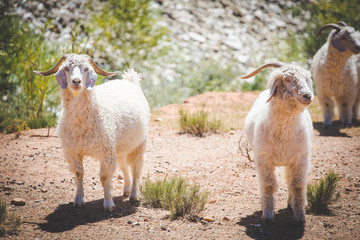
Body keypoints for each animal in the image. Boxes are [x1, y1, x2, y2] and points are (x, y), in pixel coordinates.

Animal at [34, 54, 150, 212]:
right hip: (120, 146)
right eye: (66, 68)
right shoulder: (74, 151)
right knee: (124, 165)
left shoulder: (106, 151)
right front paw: (78, 200)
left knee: (136, 168)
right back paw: (126, 189)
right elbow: (79, 174)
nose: (76, 81)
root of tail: (131, 80)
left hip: (139, 143)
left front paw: (108, 204)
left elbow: (104, 177)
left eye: (86, 69)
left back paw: (133, 195)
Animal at [242, 62, 316, 224]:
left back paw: (290, 203)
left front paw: (300, 215)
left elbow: (297, 185)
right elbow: (268, 185)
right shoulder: (264, 159)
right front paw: (268, 214)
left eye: (307, 79)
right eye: (287, 79)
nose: (307, 96)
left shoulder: (300, 159)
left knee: (289, 181)